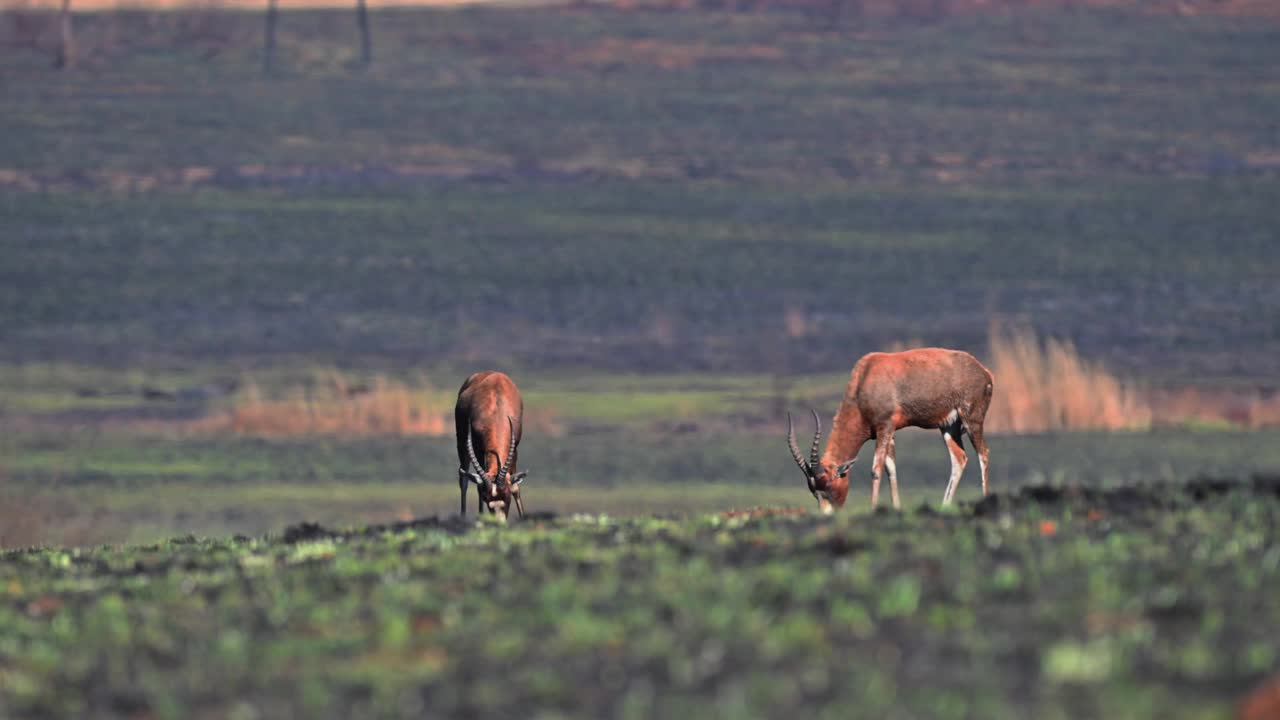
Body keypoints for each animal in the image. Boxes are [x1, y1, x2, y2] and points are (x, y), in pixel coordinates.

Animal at [453, 368, 527, 515]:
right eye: (486, 498)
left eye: (507, 496)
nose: (499, 519)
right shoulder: (478, 449)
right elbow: (478, 487)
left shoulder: (514, 448)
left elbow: (515, 486)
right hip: (462, 443)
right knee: (463, 479)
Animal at [783, 345, 993, 509]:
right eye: (813, 491)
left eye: (828, 484)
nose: (828, 515)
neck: (866, 375)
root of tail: (984, 372)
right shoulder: (889, 431)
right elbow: (890, 468)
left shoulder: (884, 426)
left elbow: (876, 469)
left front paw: (874, 508)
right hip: (949, 427)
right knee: (959, 459)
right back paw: (945, 505)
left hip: (972, 420)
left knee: (983, 453)